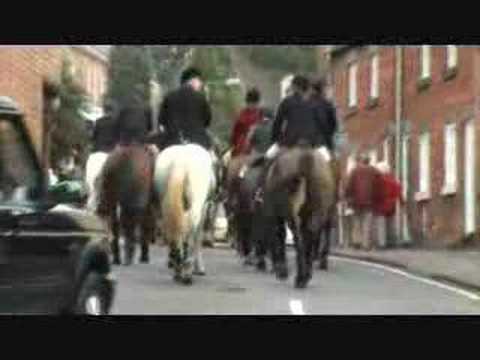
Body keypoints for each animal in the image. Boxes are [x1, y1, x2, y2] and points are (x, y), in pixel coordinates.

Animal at [154, 143, 216, 284]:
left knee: (172, 228)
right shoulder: (204, 208)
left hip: (165, 201)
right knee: (190, 228)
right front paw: (199, 268)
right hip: (196, 203)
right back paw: (186, 270)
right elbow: (198, 236)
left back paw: (177, 265)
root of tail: (181, 161)